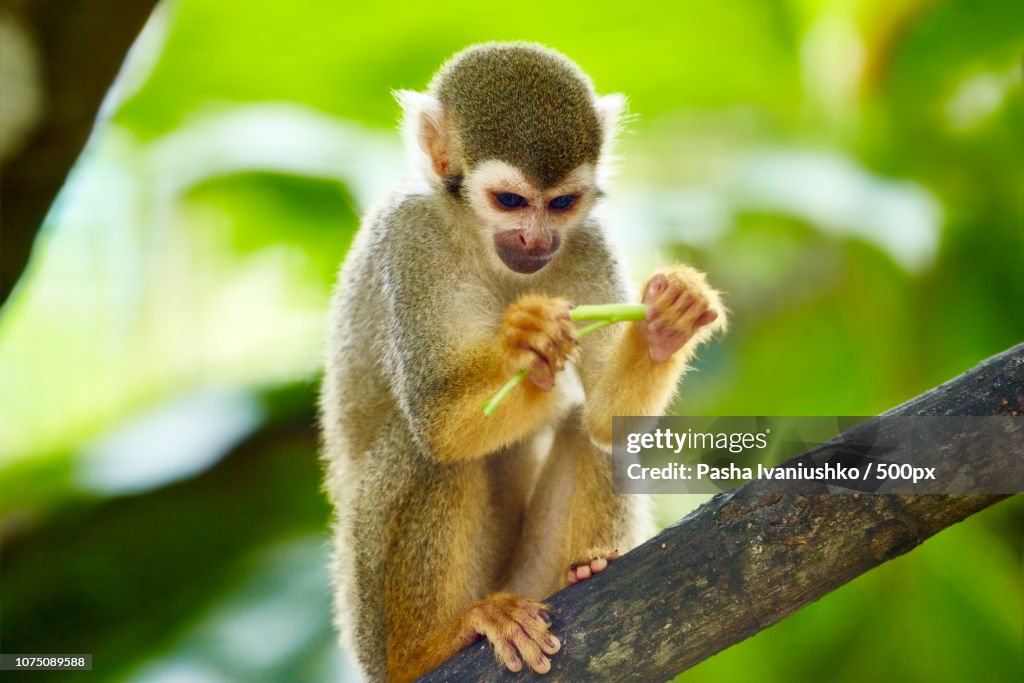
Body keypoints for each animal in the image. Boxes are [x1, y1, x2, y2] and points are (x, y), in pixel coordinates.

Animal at [320, 42, 726, 682]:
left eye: (560, 204)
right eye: (510, 201)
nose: (537, 242)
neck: (480, 241)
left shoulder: (586, 238)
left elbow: (607, 417)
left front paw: (668, 322)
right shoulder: (411, 240)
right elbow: (437, 422)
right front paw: (528, 345)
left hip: (527, 580)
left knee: (587, 431)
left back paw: (583, 570)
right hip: (367, 618)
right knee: (424, 450)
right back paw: (431, 644)